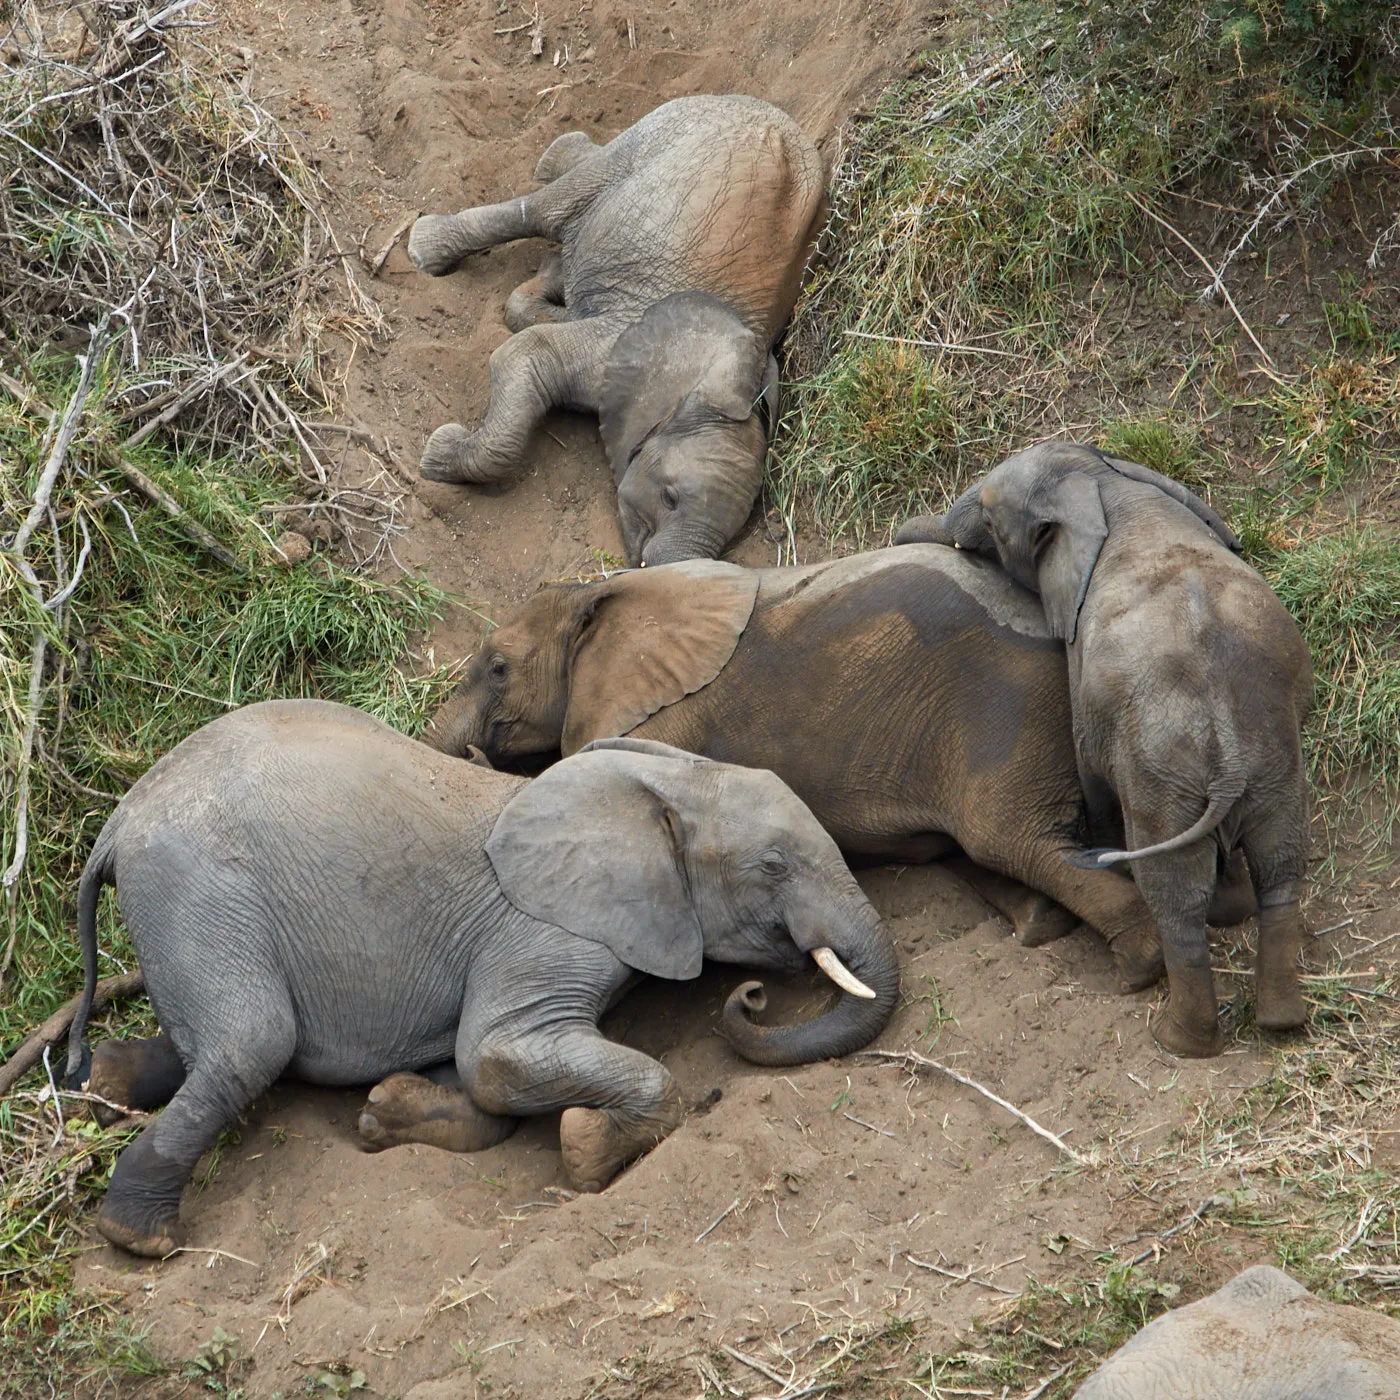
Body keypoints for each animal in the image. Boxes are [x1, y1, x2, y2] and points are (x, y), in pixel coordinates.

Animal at [63, 700, 898, 1258]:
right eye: (773, 866)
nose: (753, 996)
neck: (651, 789)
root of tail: (118, 821)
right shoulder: (543, 929)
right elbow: (493, 1058)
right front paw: (587, 1149)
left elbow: (480, 1081)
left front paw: (385, 1113)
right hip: (199, 887)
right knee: (254, 1042)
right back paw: (138, 1236)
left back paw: (107, 1083)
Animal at [406, 94, 826, 566]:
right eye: (669, 498)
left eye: (734, 535)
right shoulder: (621, 348)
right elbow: (526, 353)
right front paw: (439, 453)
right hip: (656, 137)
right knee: (547, 208)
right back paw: (428, 247)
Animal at [420, 549, 1169, 993]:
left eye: (497, 668)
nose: (469, 746)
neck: (602, 596)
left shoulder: (653, 722)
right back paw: (1040, 923)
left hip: (1009, 708)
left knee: (1007, 838)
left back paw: (1137, 968)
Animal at [897, 441, 1313, 1058]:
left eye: (993, 524)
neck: (1105, 480)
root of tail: (1232, 758)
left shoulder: (1080, 672)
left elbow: (1090, 769)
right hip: (1274, 764)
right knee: (1280, 866)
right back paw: (1281, 1021)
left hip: (1162, 779)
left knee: (1174, 893)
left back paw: (1177, 1039)